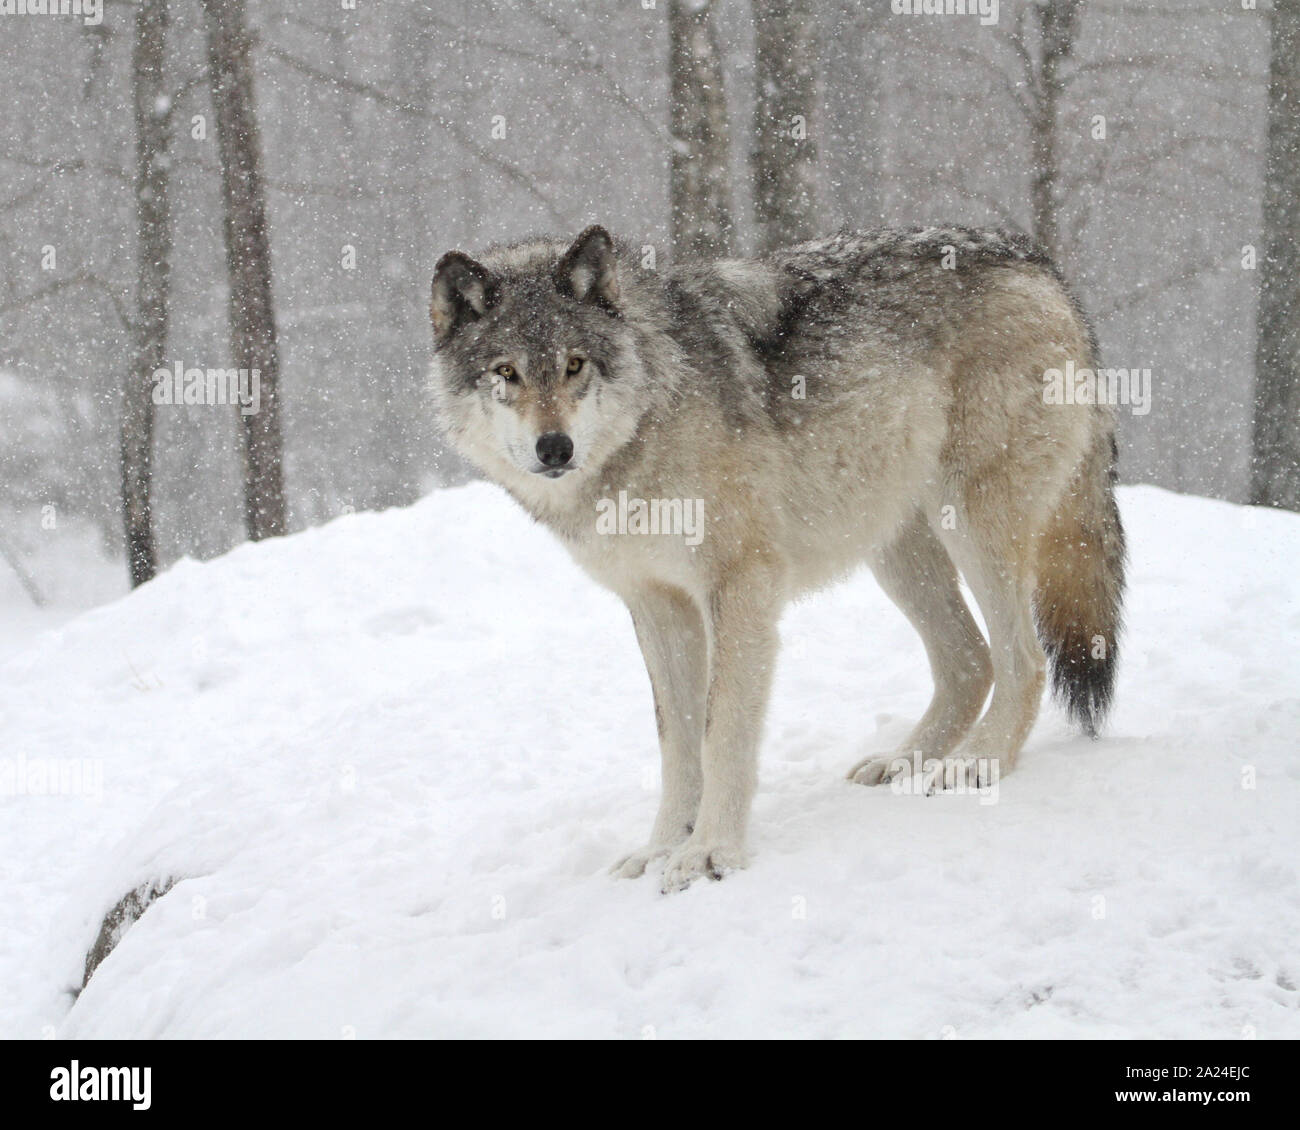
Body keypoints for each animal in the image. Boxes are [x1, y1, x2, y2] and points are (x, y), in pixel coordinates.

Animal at [431, 222, 1123, 889]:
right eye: (506, 373)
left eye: (575, 364)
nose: (555, 447)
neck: (651, 409)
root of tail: (1037, 260)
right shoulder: (656, 604)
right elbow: (676, 743)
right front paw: (660, 850)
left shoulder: (740, 584)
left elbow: (721, 732)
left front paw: (711, 854)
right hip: (894, 552)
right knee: (971, 660)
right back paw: (903, 761)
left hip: (973, 526)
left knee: (1023, 659)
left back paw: (979, 763)